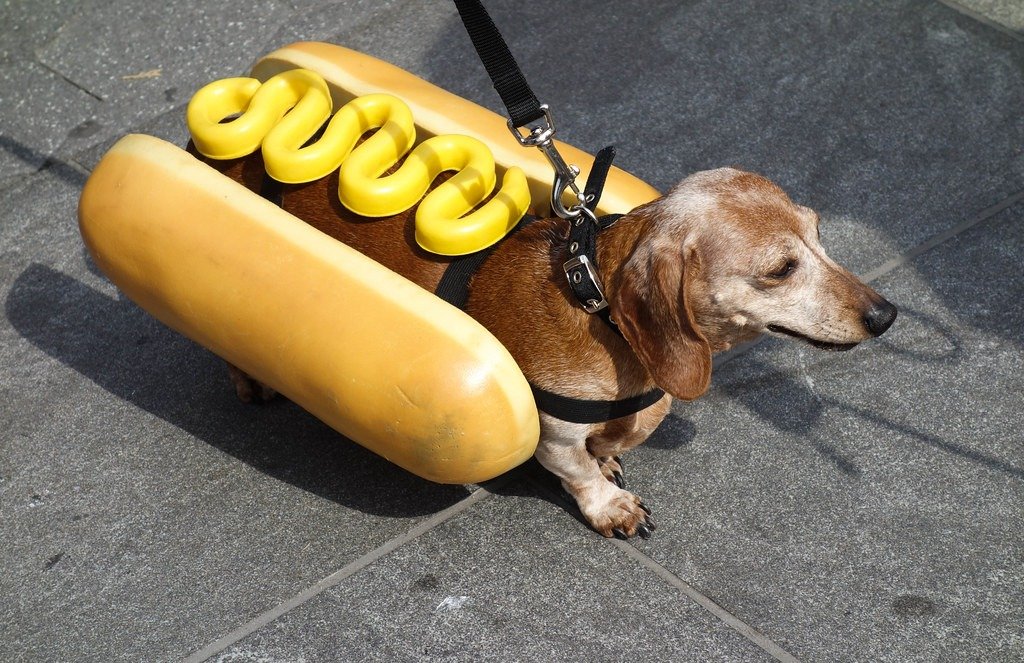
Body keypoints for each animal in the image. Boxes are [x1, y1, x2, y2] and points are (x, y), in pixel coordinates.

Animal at [201, 152, 897, 541]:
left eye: (819, 235)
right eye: (781, 269)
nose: (886, 315)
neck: (599, 310)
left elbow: (615, 440)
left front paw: (612, 458)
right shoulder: (553, 432)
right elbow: (575, 469)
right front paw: (610, 505)